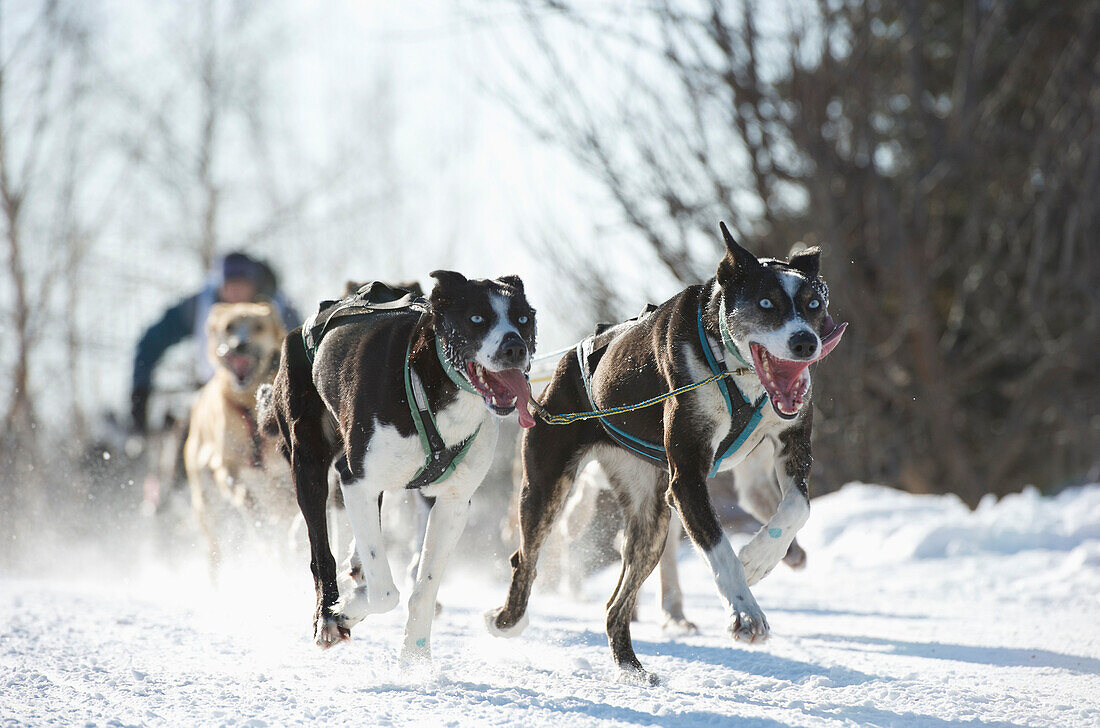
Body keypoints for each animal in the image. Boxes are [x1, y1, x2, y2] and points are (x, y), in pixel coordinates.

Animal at [184, 301, 290, 576]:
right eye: (229, 327)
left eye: (259, 327)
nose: (239, 344)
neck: (251, 406)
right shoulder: (228, 467)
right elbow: (242, 489)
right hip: (207, 505)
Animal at [257, 272, 532, 659]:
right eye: (477, 318)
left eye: (523, 318)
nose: (515, 347)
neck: (427, 387)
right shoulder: (356, 479)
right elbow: (385, 592)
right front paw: (345, 611)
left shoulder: (452, 503)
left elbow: (423, 588)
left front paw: (415, 659)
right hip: (308, 463)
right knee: (322, 552)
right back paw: (327, 614)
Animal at [486, 222, 844, 686]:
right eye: (766, 303)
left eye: (813, 304)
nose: (805, 342)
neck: (735, 370)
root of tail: (569, 358)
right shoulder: (687, 477)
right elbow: (720, 552)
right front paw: (746, 612)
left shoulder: (791, 445)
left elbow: (797, 508)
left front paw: (757, 560)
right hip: (547, 489)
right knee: (526, 560)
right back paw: (508, 620)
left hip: (651, 517)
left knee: (615, 603)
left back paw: (630, 667)